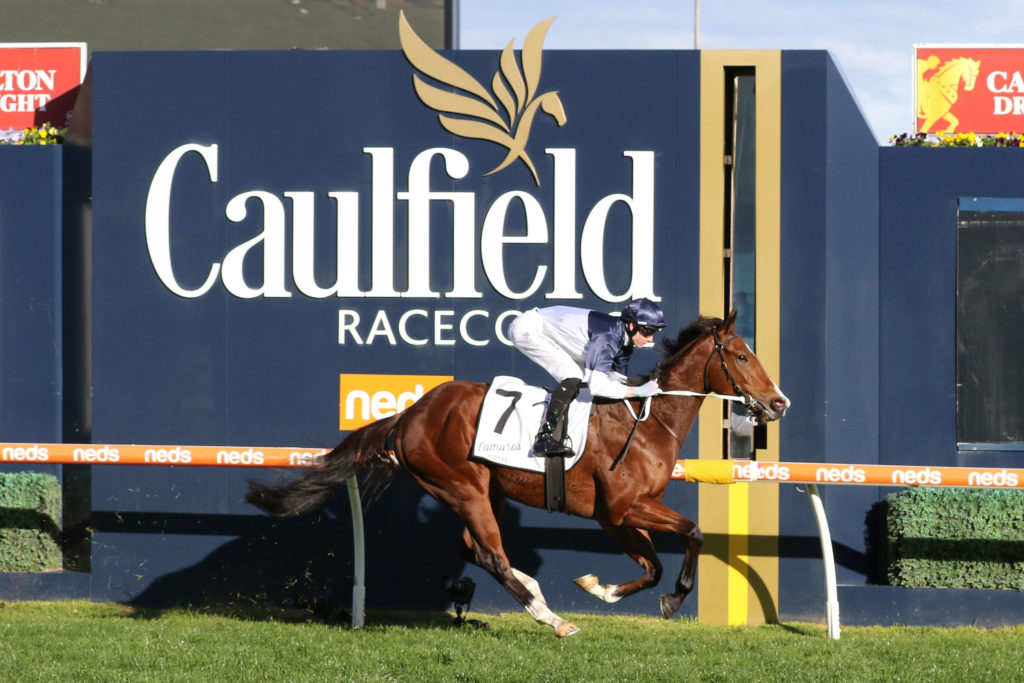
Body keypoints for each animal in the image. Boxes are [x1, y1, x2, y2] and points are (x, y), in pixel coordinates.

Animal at [246, 310, 789, 637]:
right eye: (742, 355)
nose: (779, 402)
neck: (647, 420)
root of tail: (411, 413)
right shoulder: (624, 506)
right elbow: (692, 533)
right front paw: (673, 600)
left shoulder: (613, 516)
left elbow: (651, 566)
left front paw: (599, 588)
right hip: (462, 486)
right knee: (491, 553)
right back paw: (549, 616)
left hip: (488, 490)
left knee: (477, 549)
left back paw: (537, 596)